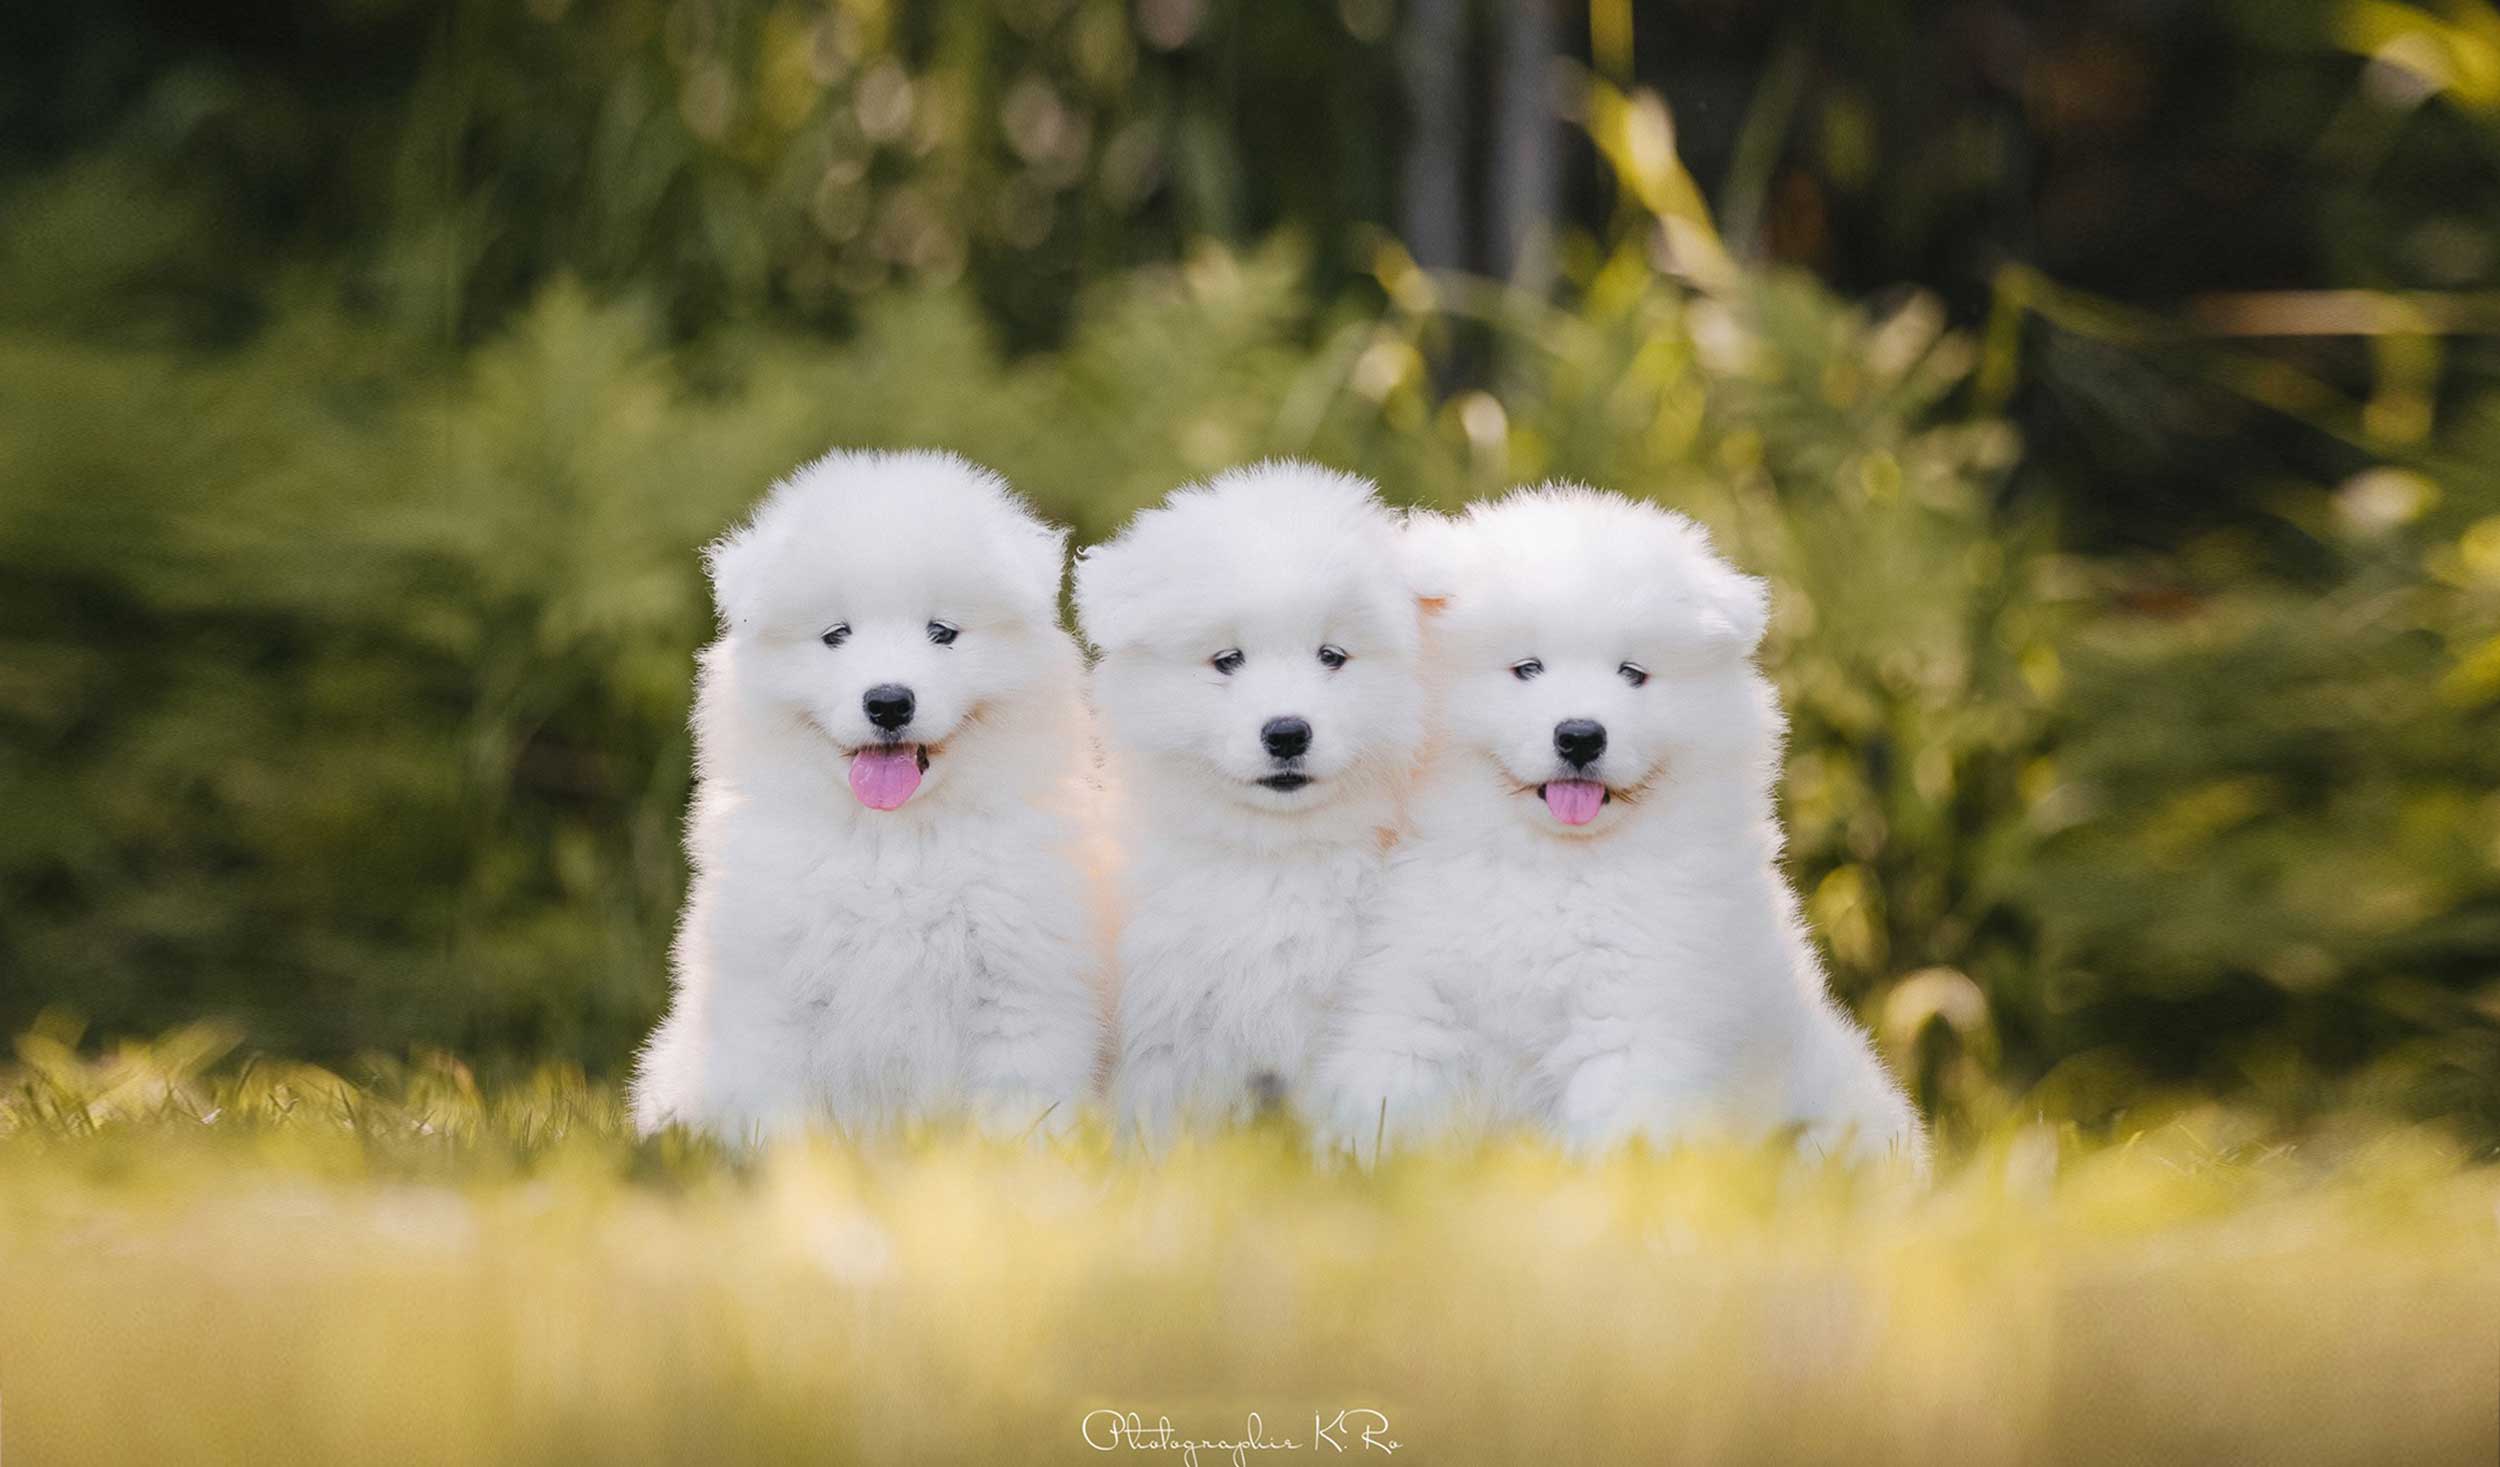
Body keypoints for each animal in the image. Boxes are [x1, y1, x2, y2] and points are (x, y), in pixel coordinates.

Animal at [635, 452, 1115, 1144]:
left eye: (942, 632)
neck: (894, 841)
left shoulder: (1020, 989)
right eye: (837, 635)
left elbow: (1015, 1110)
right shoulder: (772, 990)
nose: (888, 702)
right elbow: (777, 1113)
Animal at [1320, 487, 1920, 1174]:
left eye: (1632, 673)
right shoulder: (1412, 993)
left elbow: (1617, 1136)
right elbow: (1391, 1096)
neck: (1552, 867)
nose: (1581, 735)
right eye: (1528, 668)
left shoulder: (1633, 1020)